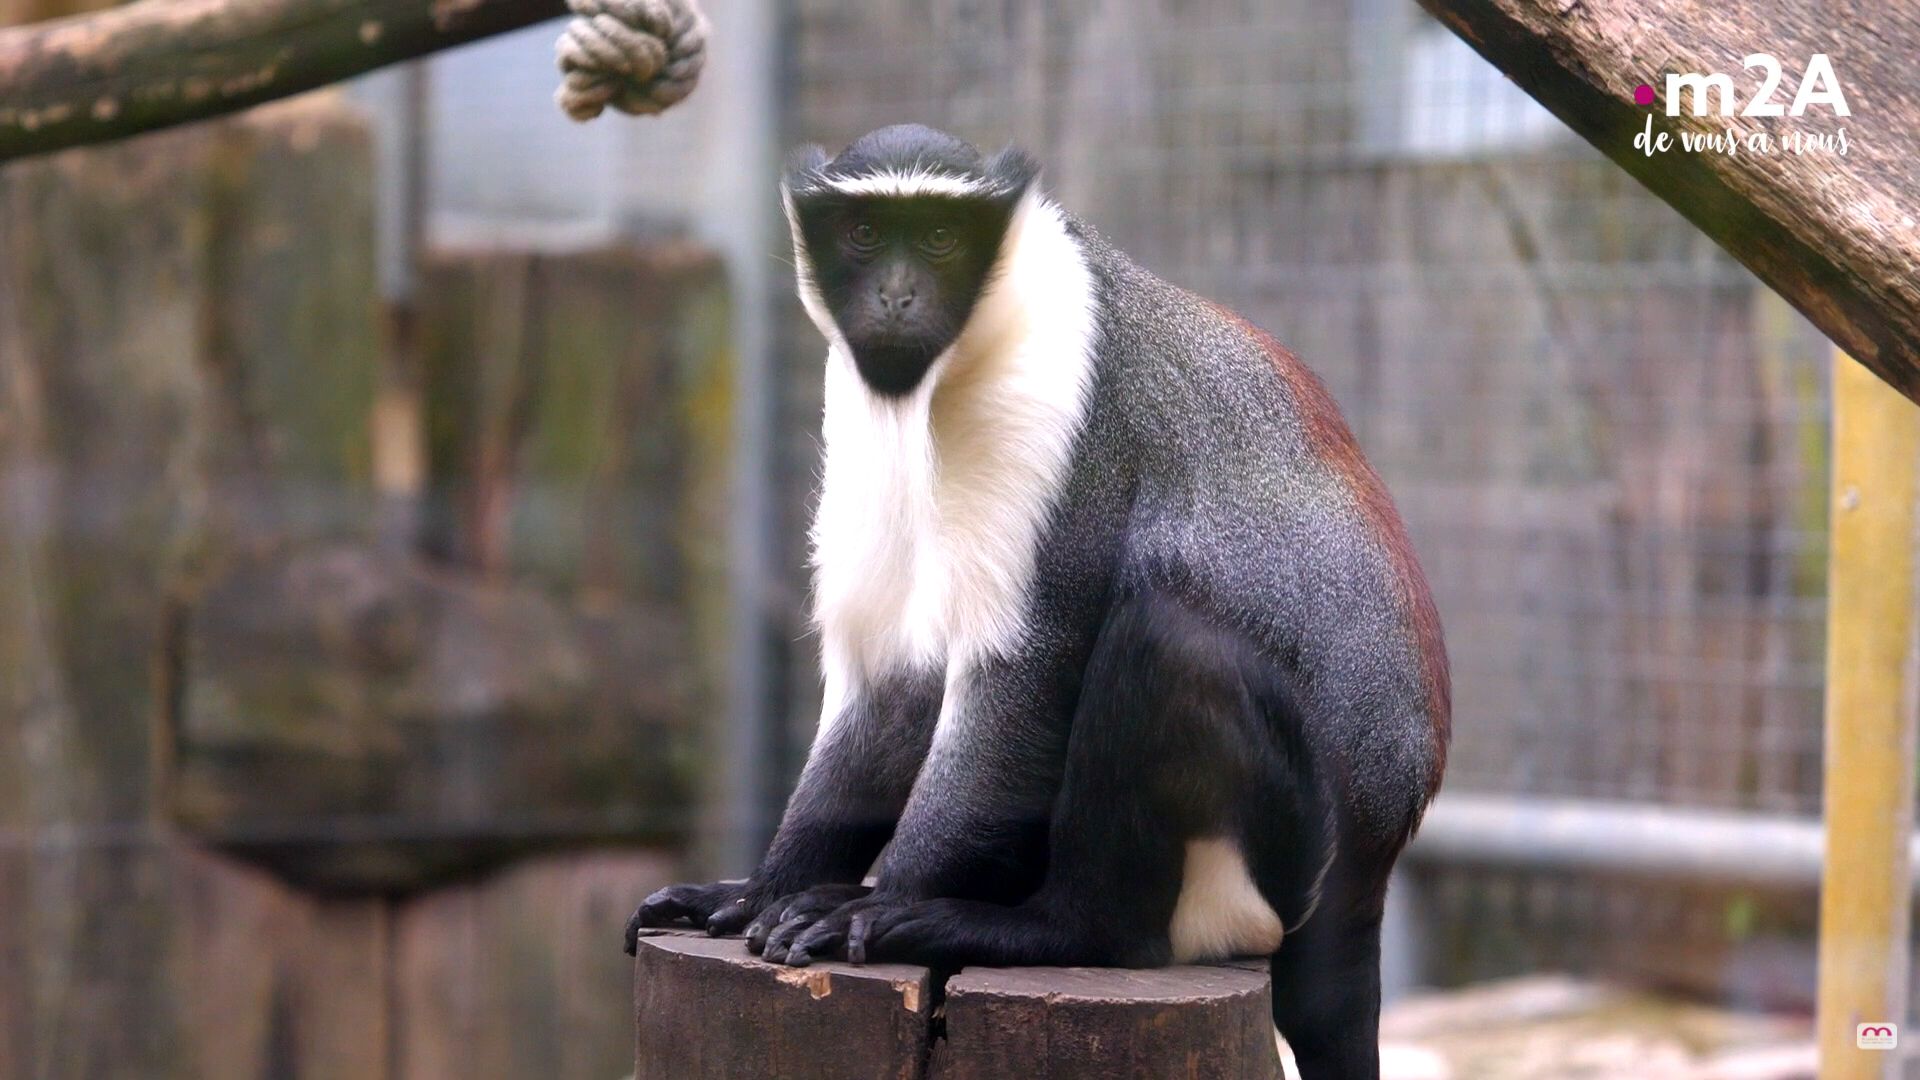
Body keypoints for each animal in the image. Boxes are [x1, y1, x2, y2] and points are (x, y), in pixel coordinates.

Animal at [622, 125, 1443, 1076]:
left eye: (941, 237)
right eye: (863, 232)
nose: (896, 296)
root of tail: (1366, 876)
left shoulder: (1058, 408)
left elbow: (1027, 667)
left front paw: (868, 905)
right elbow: (892, 683)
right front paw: (760, 893)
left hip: (1263, 861)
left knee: (1164, 642)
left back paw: (1050, 930)